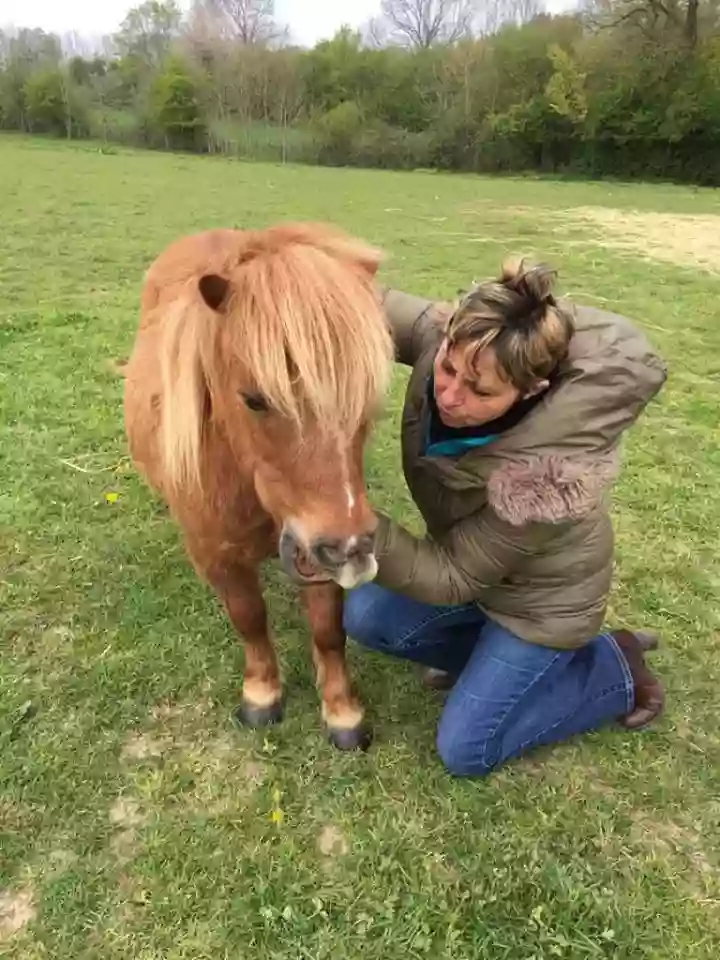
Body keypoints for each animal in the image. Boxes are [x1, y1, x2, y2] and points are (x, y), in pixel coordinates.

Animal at [124, 223, 394, 752]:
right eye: (253, 399)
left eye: (367, 398)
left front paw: (342, 710)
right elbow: (248, 618)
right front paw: (262, 694)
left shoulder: (317, 548)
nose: (353, 549)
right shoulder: (220, 555)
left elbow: (328, 630)